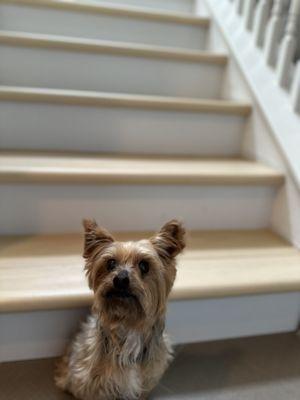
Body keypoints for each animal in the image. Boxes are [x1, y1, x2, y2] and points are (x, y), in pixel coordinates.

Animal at [54, 219, 185, 400]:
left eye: (144, 265)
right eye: (110, 264)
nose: (121, 279)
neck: (128, 322)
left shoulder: (148, 378)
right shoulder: (93, 383)